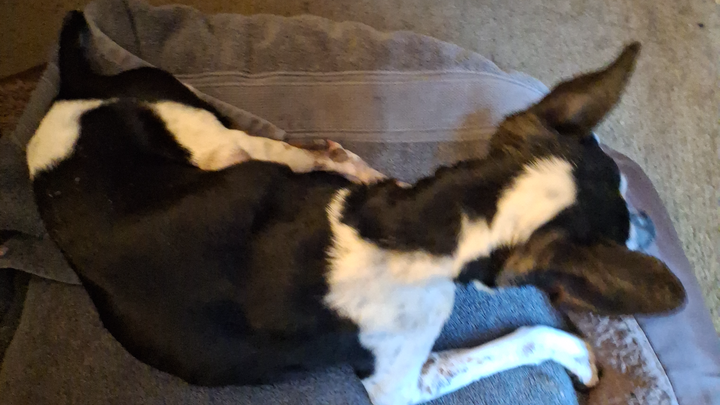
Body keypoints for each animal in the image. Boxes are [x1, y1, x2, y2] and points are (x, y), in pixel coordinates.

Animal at [28, 11, 686, 405]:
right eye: (625, 226)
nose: (654, 227)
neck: (418, 224)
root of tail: (73, 89)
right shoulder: (400, 385)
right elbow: (522, 337)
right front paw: (575, 354)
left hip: (202, 132)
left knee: (283, 156)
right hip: (206, 132)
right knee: (270, 150)